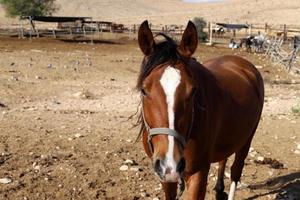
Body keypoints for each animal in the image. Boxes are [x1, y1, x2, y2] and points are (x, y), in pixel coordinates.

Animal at [137, 20, 264, 200]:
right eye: (143, 90)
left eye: (193, 91)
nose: (170, 163)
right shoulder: (164, 175)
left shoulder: (198, 173)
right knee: (223, 159)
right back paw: (219, 189)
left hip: (247, 138)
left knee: (236, 171)